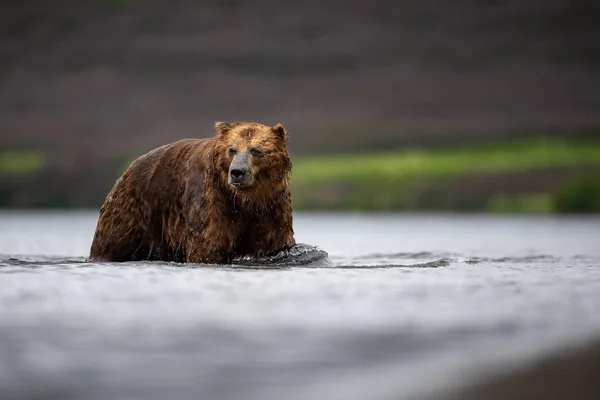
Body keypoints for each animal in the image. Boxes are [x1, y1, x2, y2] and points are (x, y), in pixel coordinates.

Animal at [88, 122, 294, 266]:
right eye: (232, 149)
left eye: (256, 150)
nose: (237, 172)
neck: (245, 200)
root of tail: (126, 171)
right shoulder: (212, 202)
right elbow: (206, 247)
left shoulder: (272, 207)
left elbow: (276, 244)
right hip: (132, 213)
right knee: (112, 243)